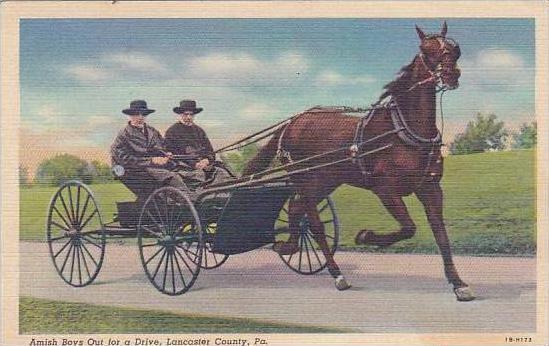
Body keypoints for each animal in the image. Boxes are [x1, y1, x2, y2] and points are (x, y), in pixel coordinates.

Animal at [242, 23, 474, 302]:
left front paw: (458, 283)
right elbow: (408, 228)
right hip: (305, 179)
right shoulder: (385, 189)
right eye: (426, 49)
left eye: (454, 49)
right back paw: (336, 274)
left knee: (297, 208)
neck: (402, 129)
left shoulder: (430, 188)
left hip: (325, 181)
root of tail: (292, 123)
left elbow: (441, 234)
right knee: (312, 220)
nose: (450, 74)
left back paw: (289, 247)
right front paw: (366, 236)